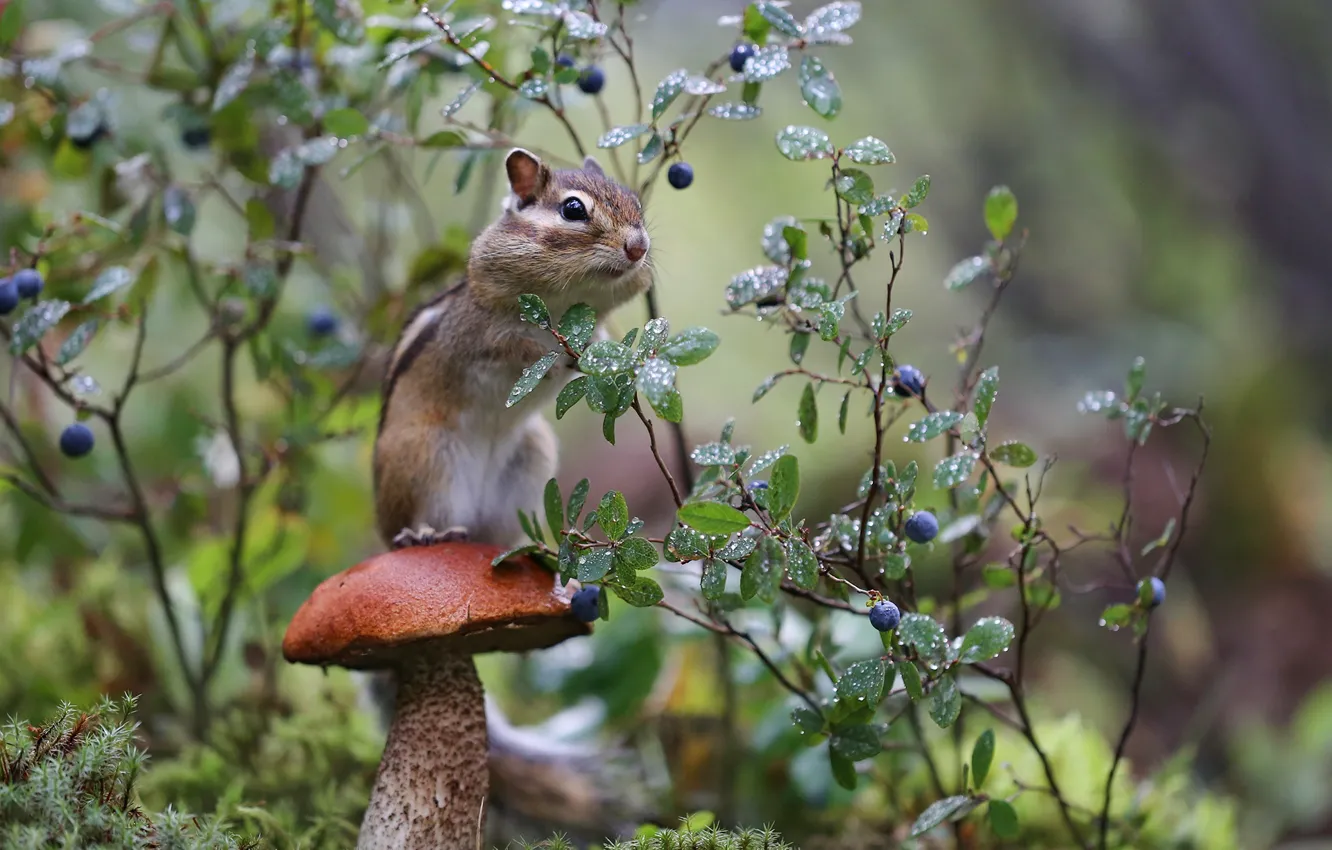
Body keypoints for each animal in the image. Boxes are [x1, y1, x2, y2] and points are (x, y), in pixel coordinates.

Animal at [367, 148, 656, 842]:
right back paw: (424, 533)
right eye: (573, 210)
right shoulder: (484, 331)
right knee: (420, 523)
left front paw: (602, 350)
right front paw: (560, 349)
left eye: (637, 203)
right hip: (428, 458)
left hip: (530, 458)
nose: (638, 246)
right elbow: (518, 345)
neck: (568, 298)